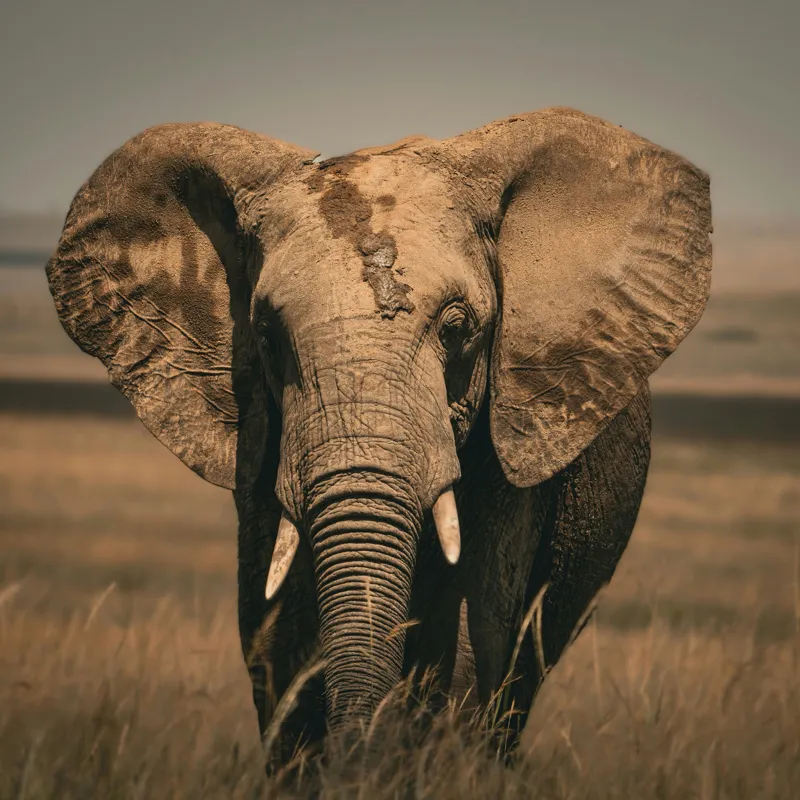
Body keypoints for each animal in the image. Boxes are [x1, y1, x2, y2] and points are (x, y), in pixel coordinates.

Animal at [45, 107, 712, 766]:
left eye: (456, 328)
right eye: (266, 337)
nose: (358, 748)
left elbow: (467, 639)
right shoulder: (262, 448)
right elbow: (276, 638)